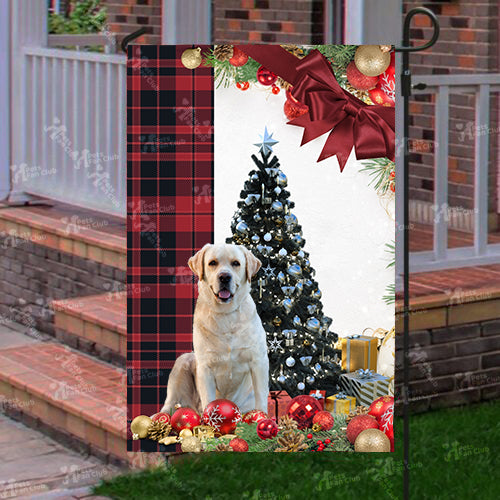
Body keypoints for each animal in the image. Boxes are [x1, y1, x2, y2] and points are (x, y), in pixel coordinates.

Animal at [161, 242, 270, 414]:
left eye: (236, 263)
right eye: (212, 263)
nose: (224, 277)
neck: (226, 315)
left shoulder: (258, 360)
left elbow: (260, 394)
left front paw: (262, 416)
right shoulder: (205, 366)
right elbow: (208, 398)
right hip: (183, 361)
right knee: (169, 403)